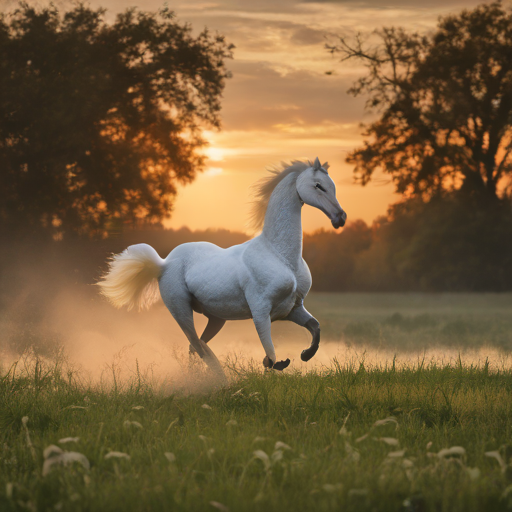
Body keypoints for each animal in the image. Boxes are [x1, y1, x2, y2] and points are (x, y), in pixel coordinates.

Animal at [98, 158, 346, 378]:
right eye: (318, 185)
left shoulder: (293, 308)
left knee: (196, 347)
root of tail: (163, 263)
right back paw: (216, 379)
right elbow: (272, 357)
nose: (340, 218)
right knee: (198, 346)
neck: (281, 256)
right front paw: (279, 362)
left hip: (216, 319)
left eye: (333, 185)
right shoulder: (261, 311)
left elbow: (315, 327)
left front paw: (305, 354)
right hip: (181, 311)